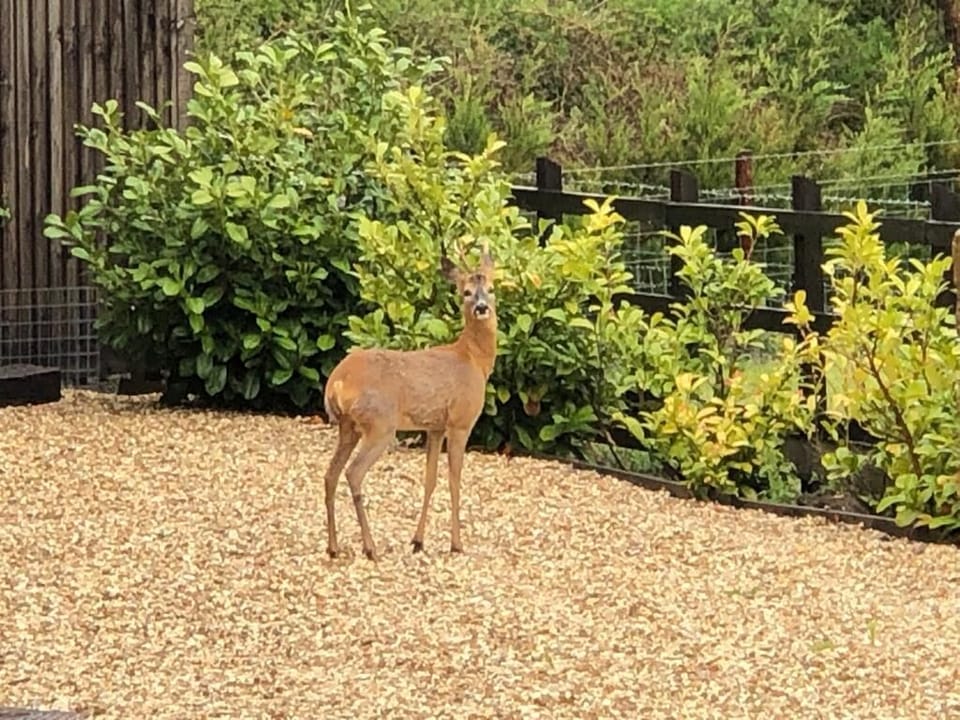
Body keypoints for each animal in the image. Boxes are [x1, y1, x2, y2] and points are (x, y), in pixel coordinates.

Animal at [322, 243, 498, 561]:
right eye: (466, 292)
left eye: (491, 288)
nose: (482, 307)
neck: (473, 360)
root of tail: (336, 382)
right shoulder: (460, 421)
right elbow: (454, 480)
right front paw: (456, 544)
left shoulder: (435, 426)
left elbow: (430, 479)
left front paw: (418, 541)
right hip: (380, 423)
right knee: (353, 473)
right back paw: (370, 547)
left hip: (348, 426)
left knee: (330, 474)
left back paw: (334, 547)